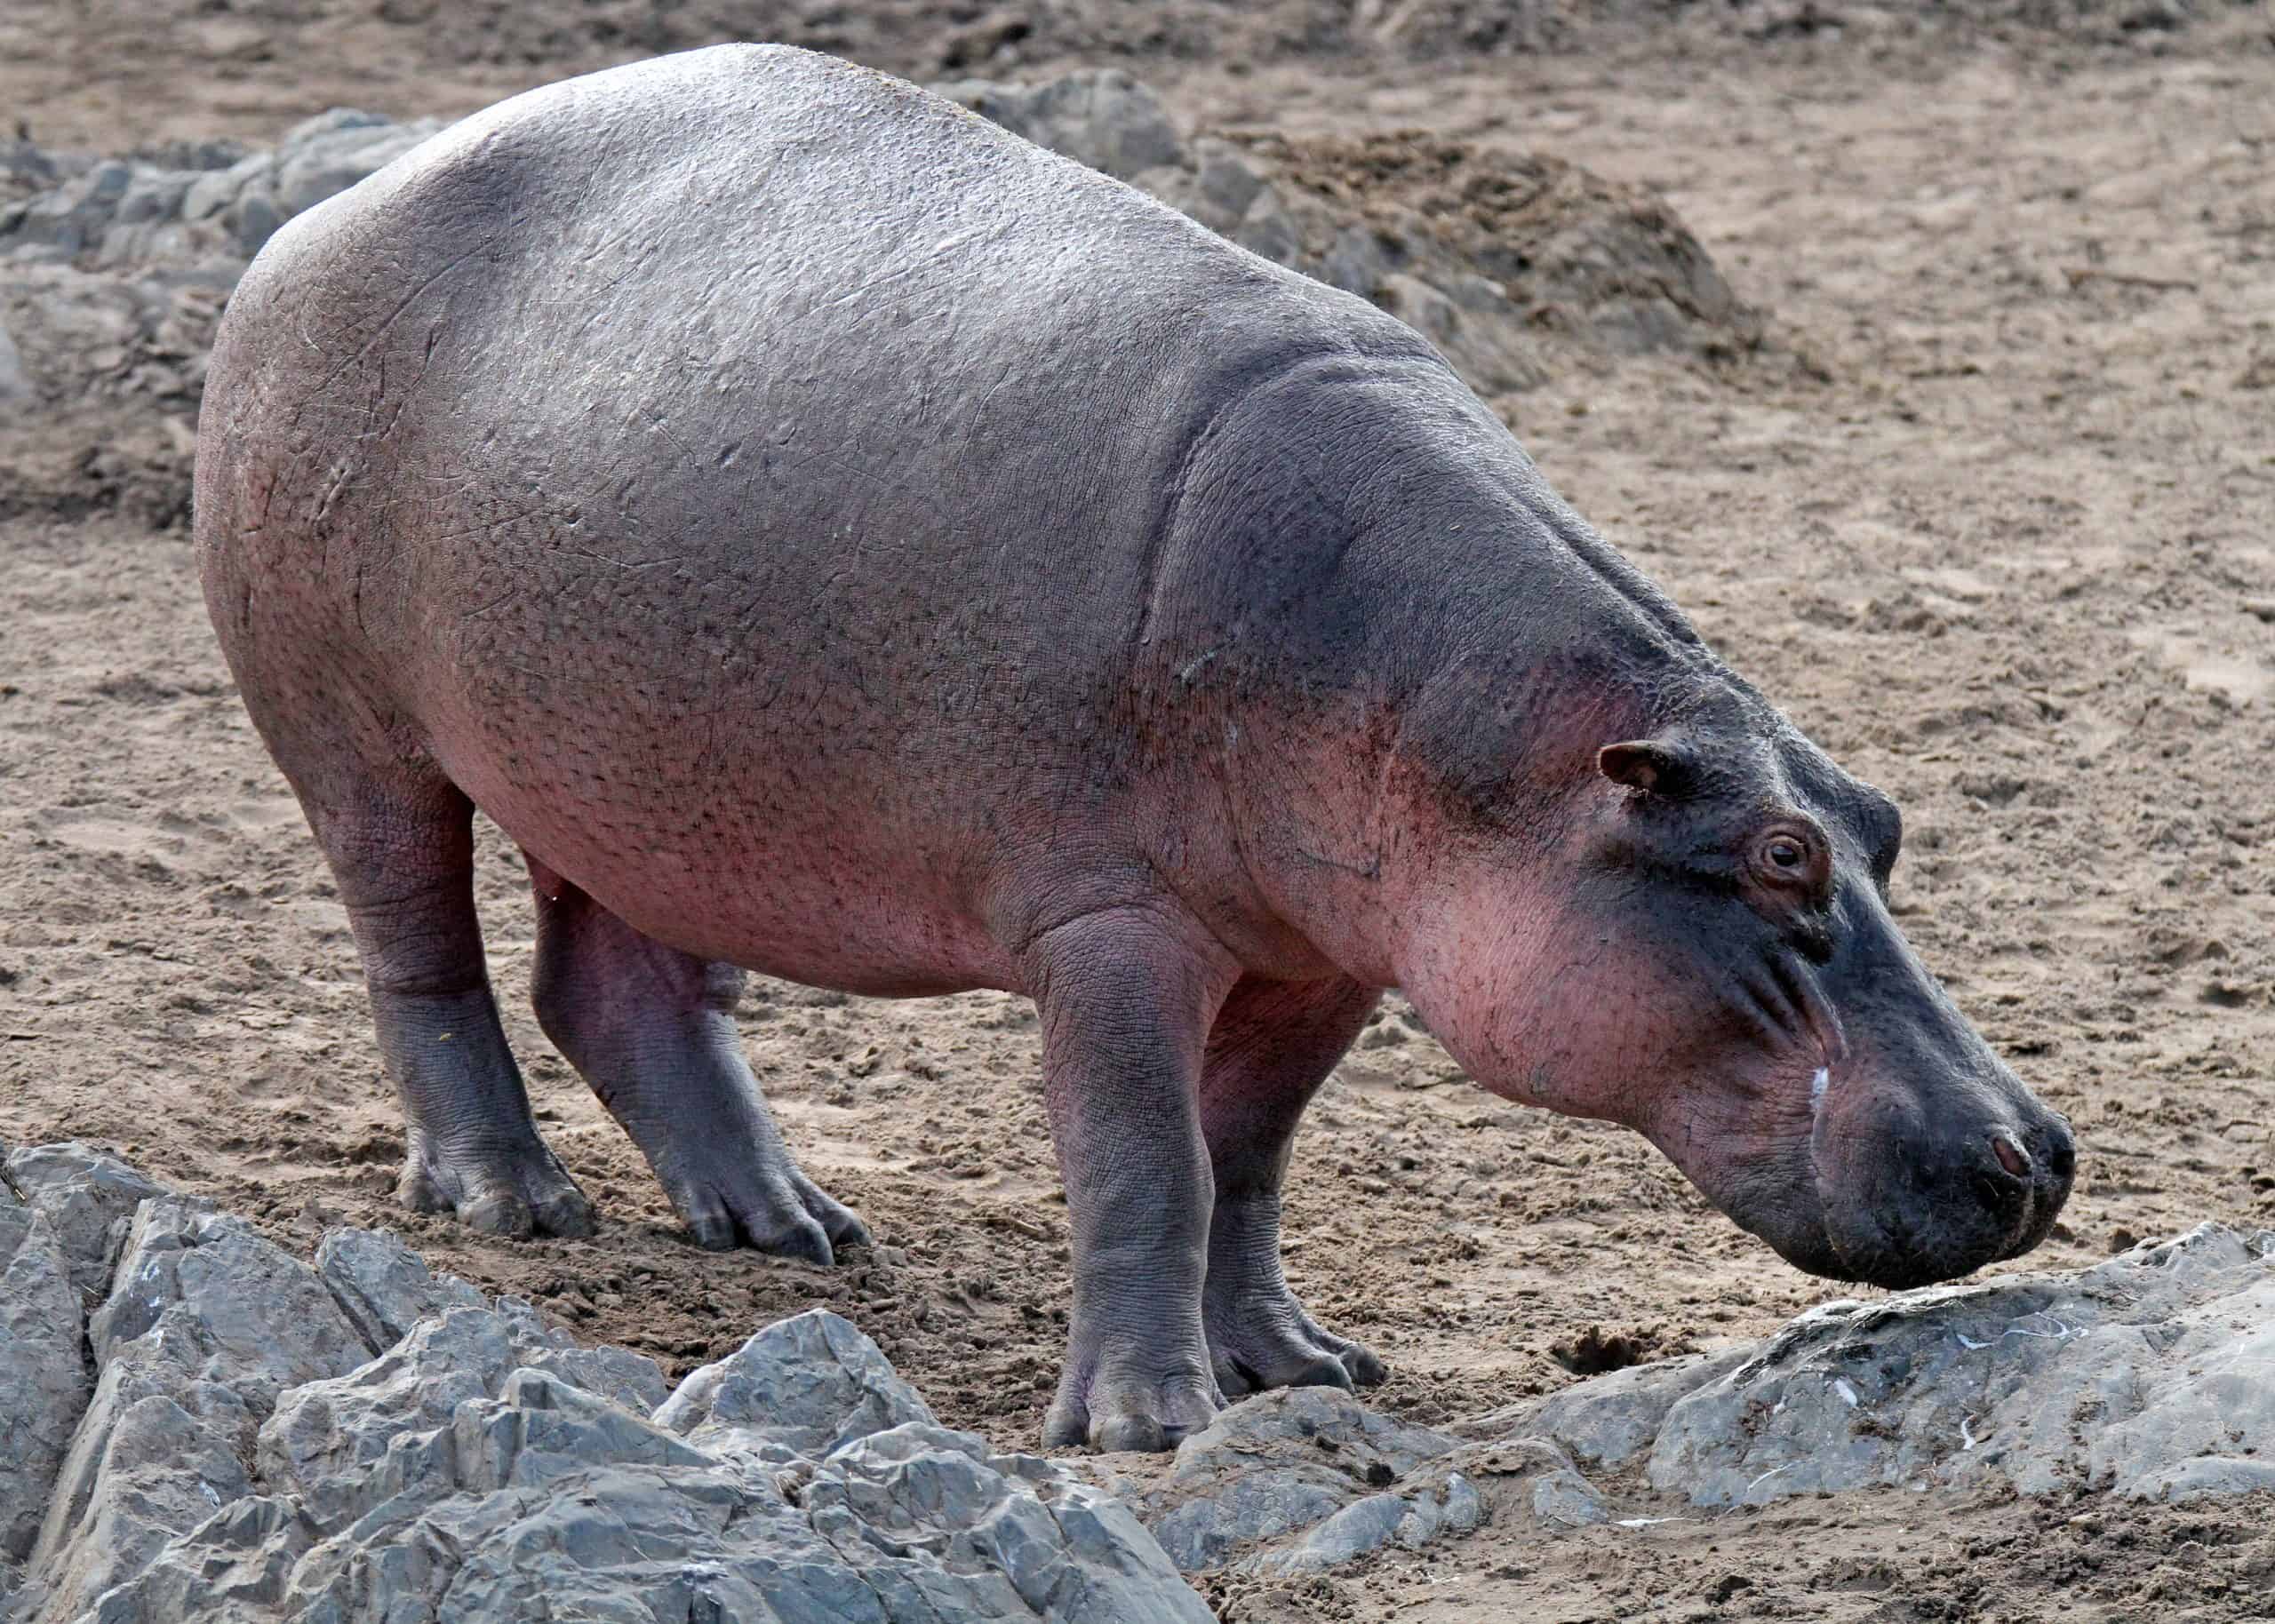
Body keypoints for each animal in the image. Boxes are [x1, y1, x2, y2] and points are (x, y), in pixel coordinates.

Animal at [195, 44, 2075, 1452]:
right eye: (1776, 855)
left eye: (1883, 820)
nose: (2038, 1154)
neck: (1500, 746)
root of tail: (329, 208)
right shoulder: (1109, 923)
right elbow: (1145, 1157)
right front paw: (1151, 1424)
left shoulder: (1329, 946)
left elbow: (1247, 1162)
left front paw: (1300, 1366)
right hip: (357, 730)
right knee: (418, 945)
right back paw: (511, 1203)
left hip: (633, 761)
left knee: (618, 982)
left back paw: (792, 1223)